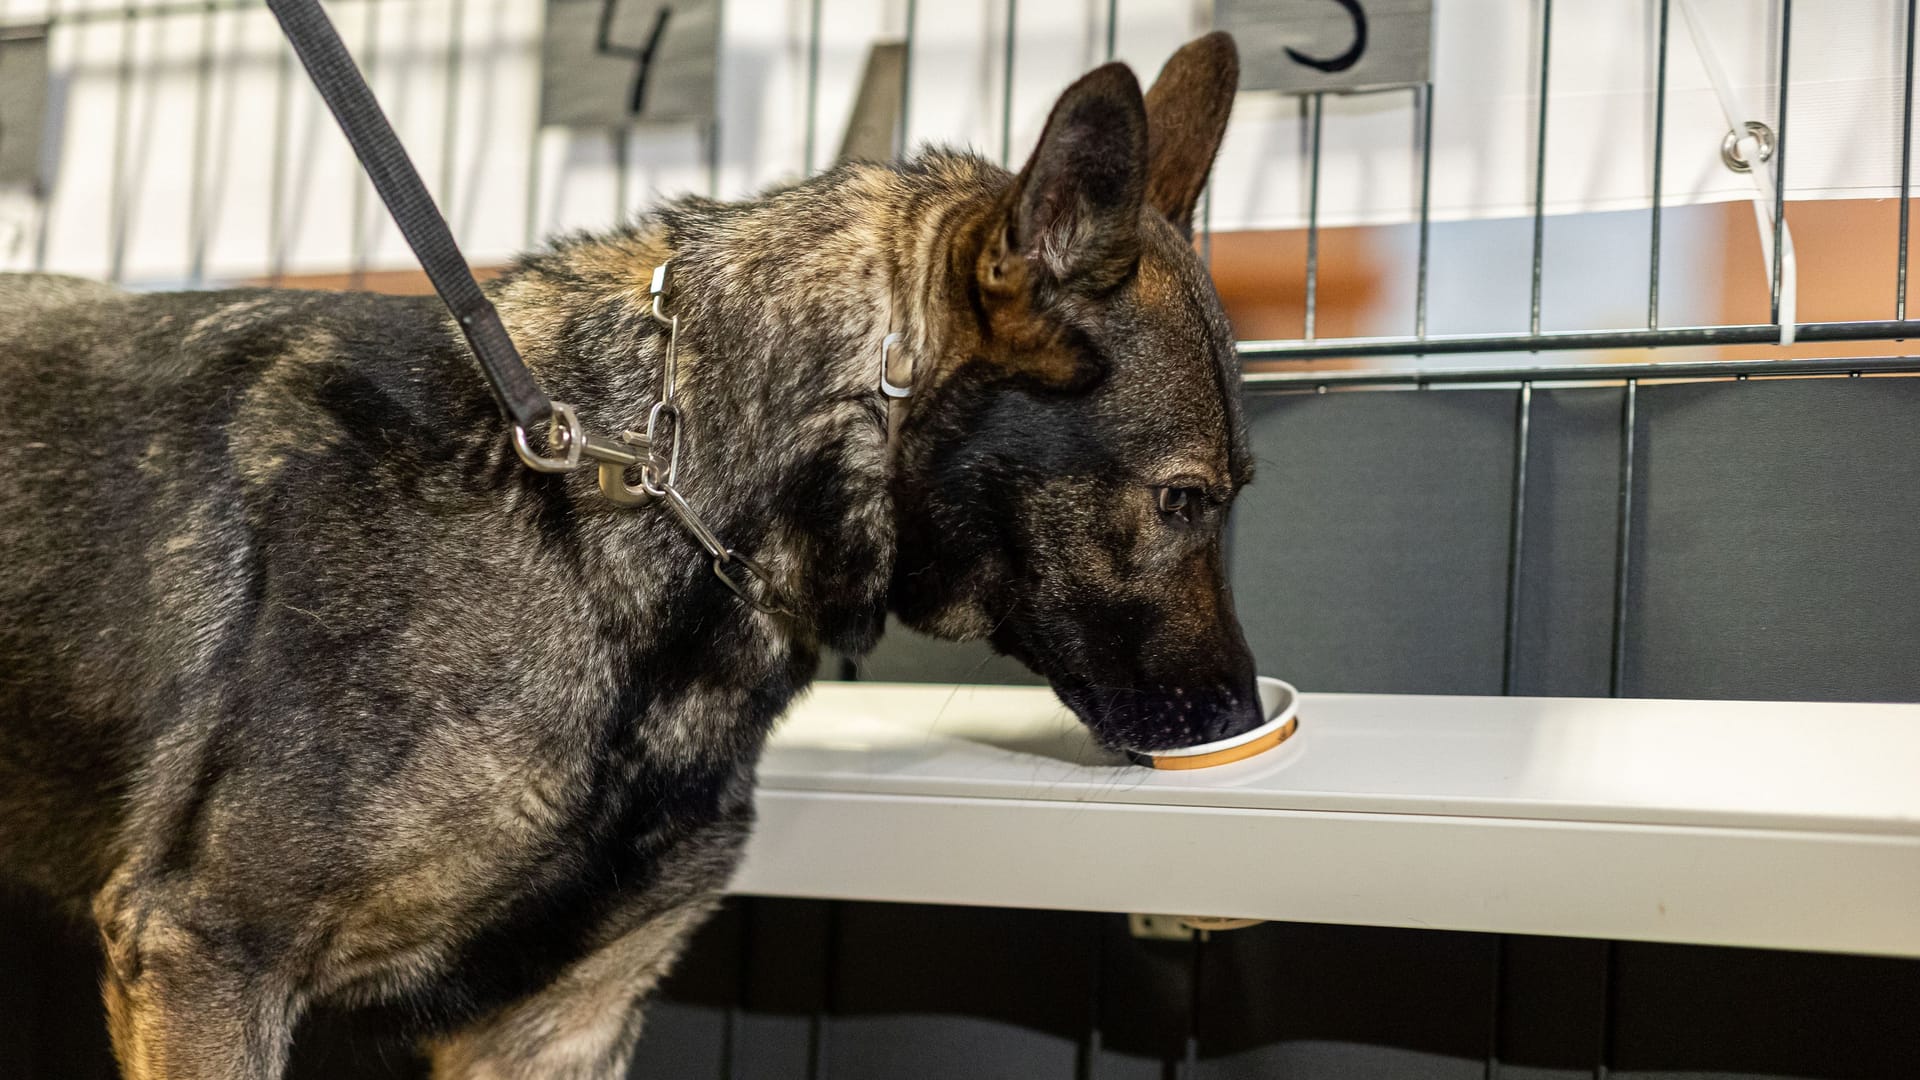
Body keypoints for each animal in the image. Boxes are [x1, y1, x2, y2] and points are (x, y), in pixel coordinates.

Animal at [0, 31, 1259, 1068]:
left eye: (1232, 494)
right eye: (1184, 499)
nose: (1244, 718)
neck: (658, 499)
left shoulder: (557, 1027)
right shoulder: (208, 959)